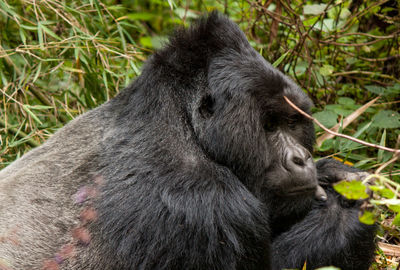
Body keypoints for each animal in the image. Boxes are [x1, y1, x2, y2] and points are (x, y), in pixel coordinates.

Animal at [0, 11, 376, 270]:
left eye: (293, 122)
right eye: (269, 126)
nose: (301, 159)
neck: (182, 124)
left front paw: (333, 175)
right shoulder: (204, 202)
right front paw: (345, 214)